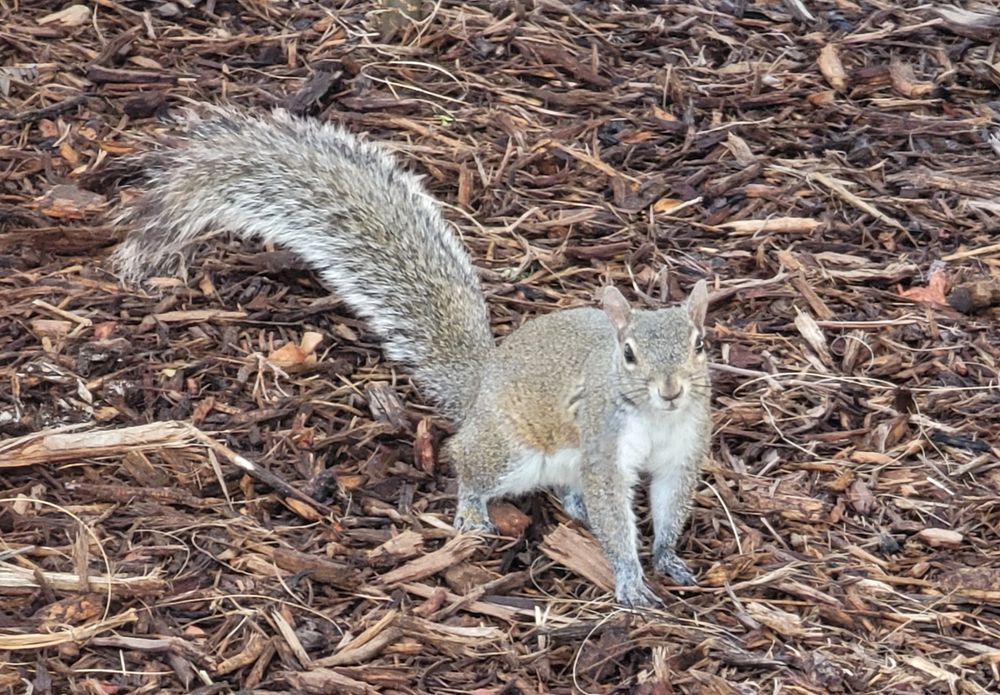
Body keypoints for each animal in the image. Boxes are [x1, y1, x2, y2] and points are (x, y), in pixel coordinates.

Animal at [112, 106, 712, 608]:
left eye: (700, 344)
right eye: (628, 354)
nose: (671, 389)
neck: (656, 419)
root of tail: (481, 387)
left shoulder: (683, 450)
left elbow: (671, 501)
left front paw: (667, 557)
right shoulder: (602, 443)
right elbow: (613, 507)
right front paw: (631, 578)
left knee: (566, 491)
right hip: (509, 449)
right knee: (467, 462)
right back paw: (473, 512)